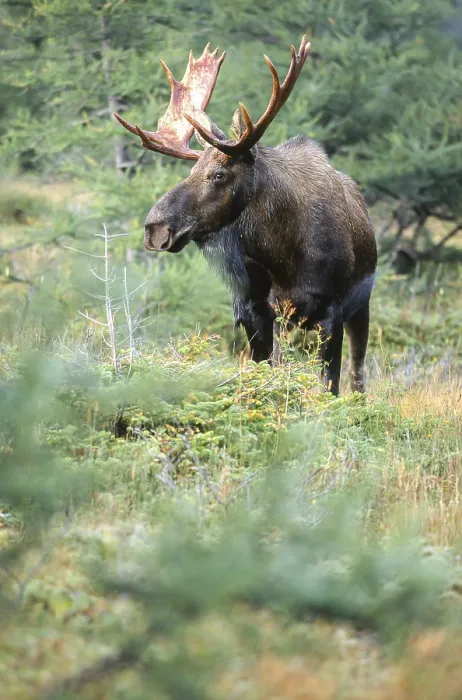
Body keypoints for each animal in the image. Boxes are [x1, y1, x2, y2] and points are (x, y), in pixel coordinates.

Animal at [114, 37, 377, 395]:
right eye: (191, 170)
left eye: (219, 175)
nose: (154, 228)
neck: (284, 257)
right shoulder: (254, 311)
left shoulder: (332, 312)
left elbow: (330, 386)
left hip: (361, 307)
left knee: (358, 375)